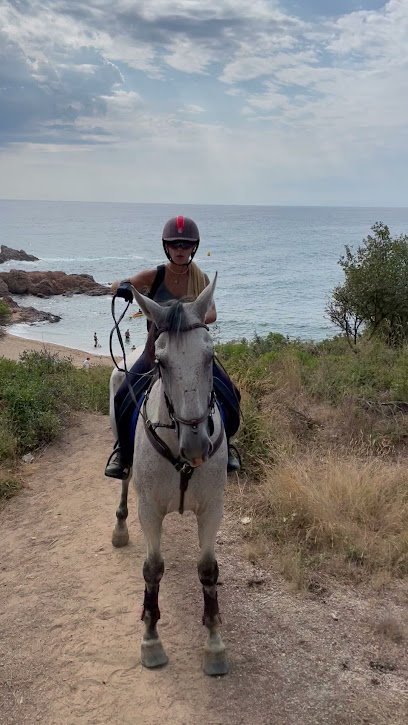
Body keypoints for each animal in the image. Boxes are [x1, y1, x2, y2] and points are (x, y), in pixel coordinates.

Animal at [110, 278, 228, 672]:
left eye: (209, 356)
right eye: (161, 361)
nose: (197, 445)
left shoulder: (212, 509)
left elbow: (207, 570)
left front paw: (214, 645)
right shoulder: (149, 509)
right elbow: (153, 569)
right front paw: (151, 640)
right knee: (124, 482)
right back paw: (119, 528)